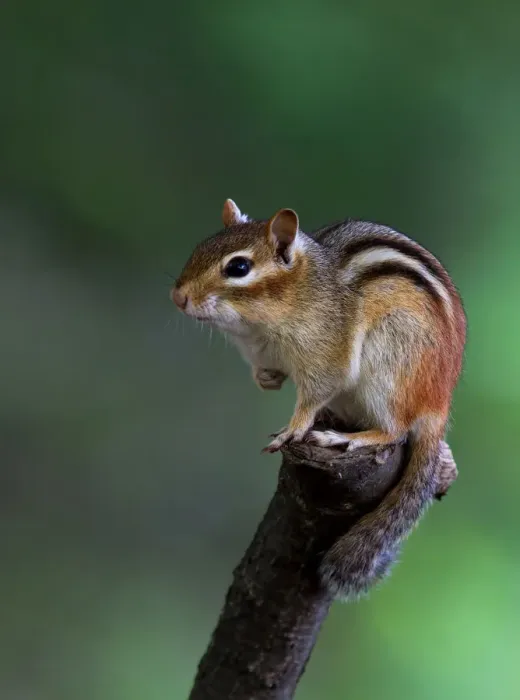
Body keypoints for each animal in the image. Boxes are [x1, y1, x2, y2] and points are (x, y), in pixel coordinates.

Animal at [171, 199, 466, 599]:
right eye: (199, 247)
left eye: (238, 267)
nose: (178, 297)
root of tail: (439, 406)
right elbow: (271, 378)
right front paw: (268, 380)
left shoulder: (326, 357)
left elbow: (315, 394)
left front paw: (293, 430)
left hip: (392, 362)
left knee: (397, 430)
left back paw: (345, 437)